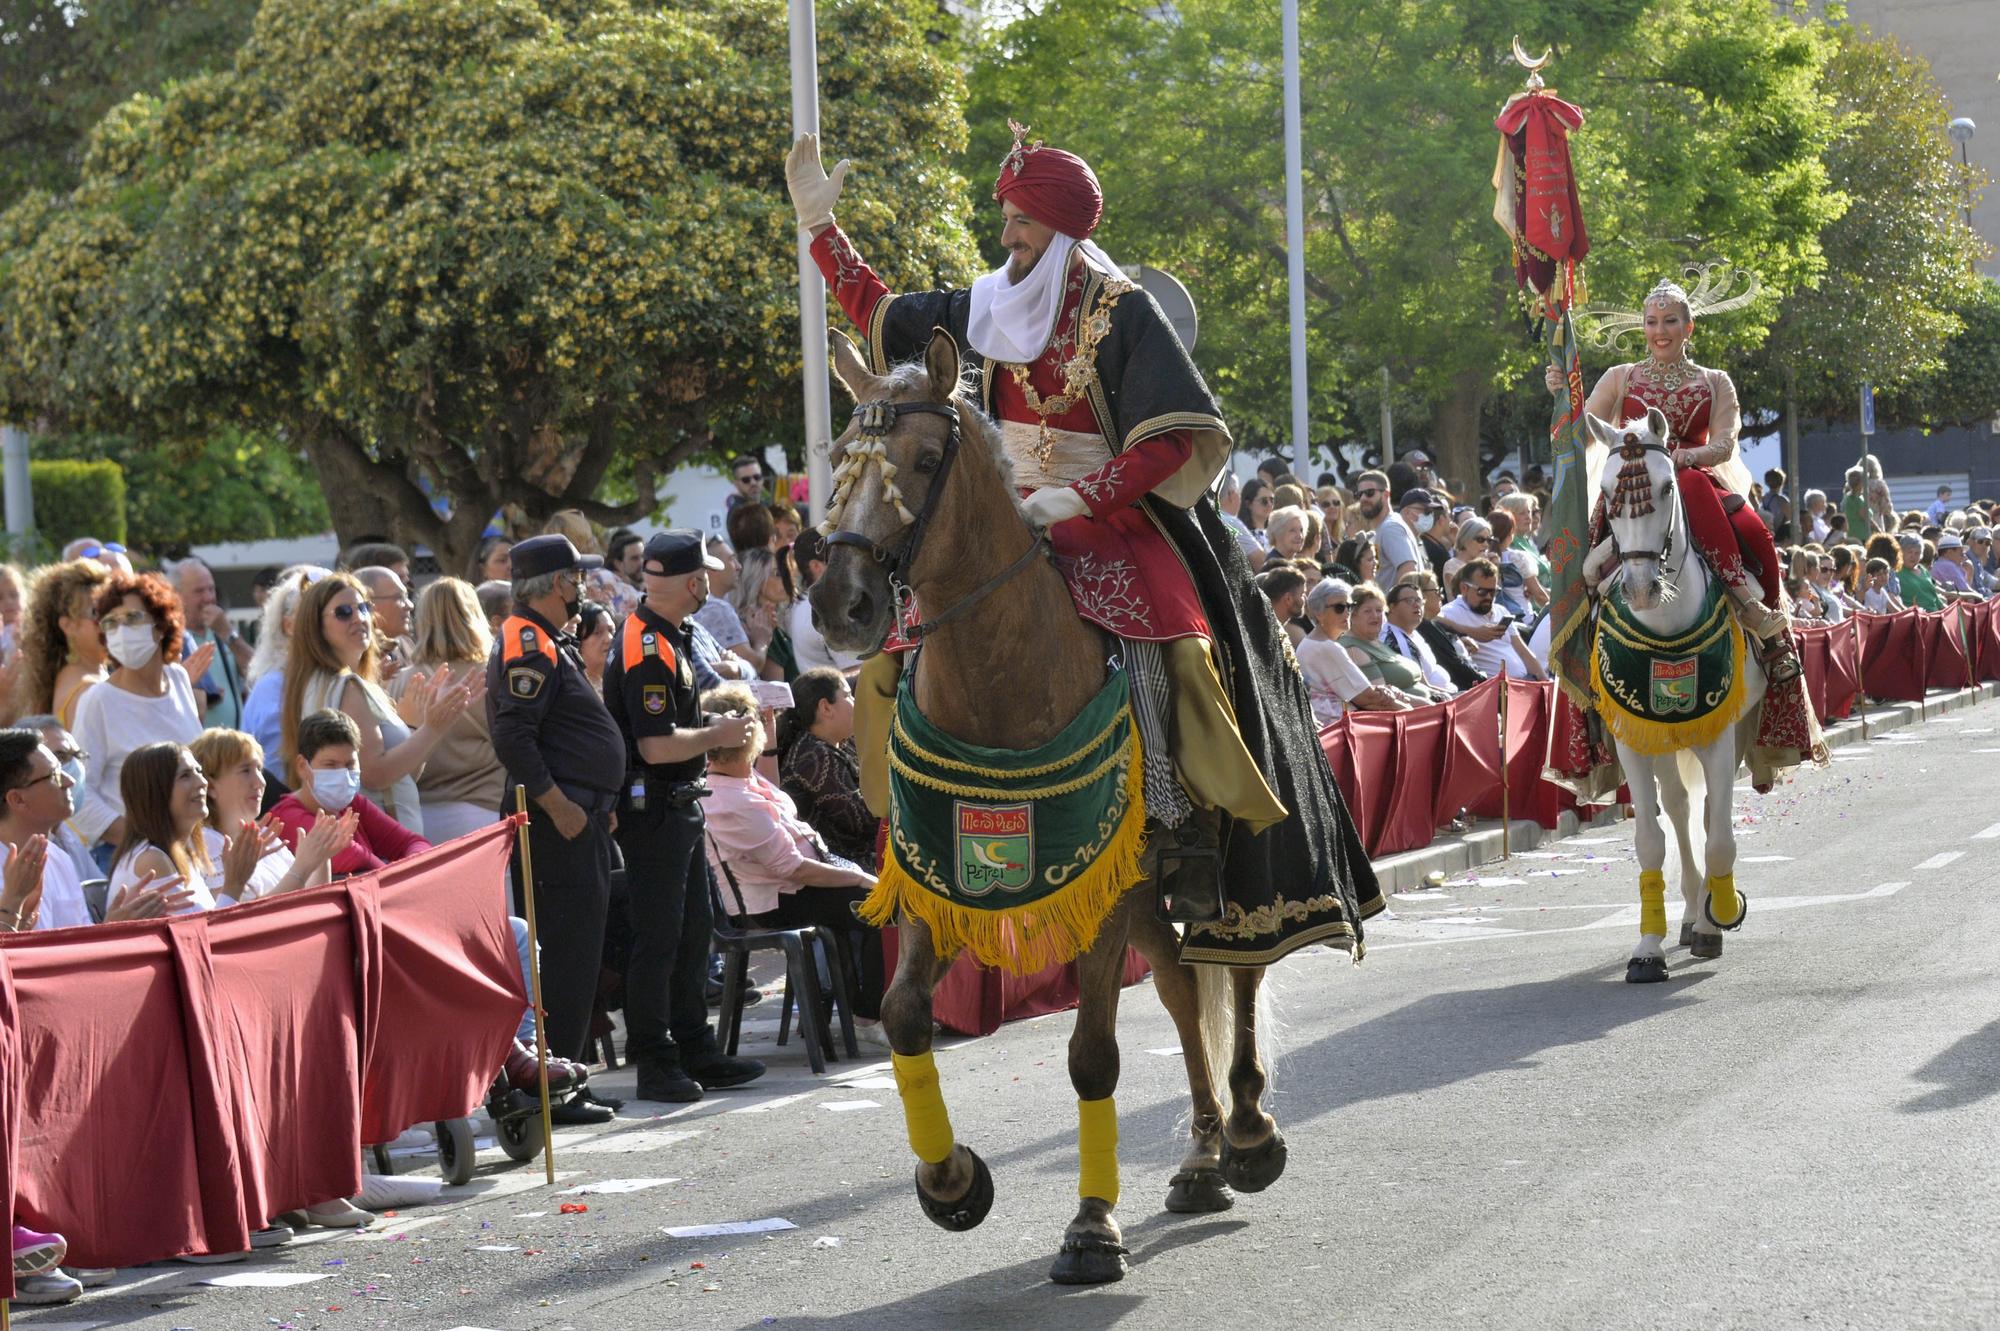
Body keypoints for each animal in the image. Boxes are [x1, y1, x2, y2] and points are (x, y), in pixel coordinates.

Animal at [808, 325, 1288, 1279]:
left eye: (925, 460)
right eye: (839, 459)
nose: (843, 604)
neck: (1003, 679)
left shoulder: (1099, 886)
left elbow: (1093, 1056)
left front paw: (1092, 1226)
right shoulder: (939, 880)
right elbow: (904, 1015)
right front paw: (951, 1180)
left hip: (1218, 857)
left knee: (1239, 967)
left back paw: (1249, 1132)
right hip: (1148, 891)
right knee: (1183, 988)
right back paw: (1201, 1155)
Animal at [1584, 409, 1760, 979]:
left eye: (1665, 486)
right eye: (1606, 492)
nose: (1640, 589)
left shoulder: (1720, 733)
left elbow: (1721, 835)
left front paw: (1719, 916)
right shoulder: (1632, 738)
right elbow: (1650, 842)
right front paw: (1648, 947)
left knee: (1702, 816)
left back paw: (1703, 917)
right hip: (1662, 740)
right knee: (1681, 811)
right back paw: (1684, 916)